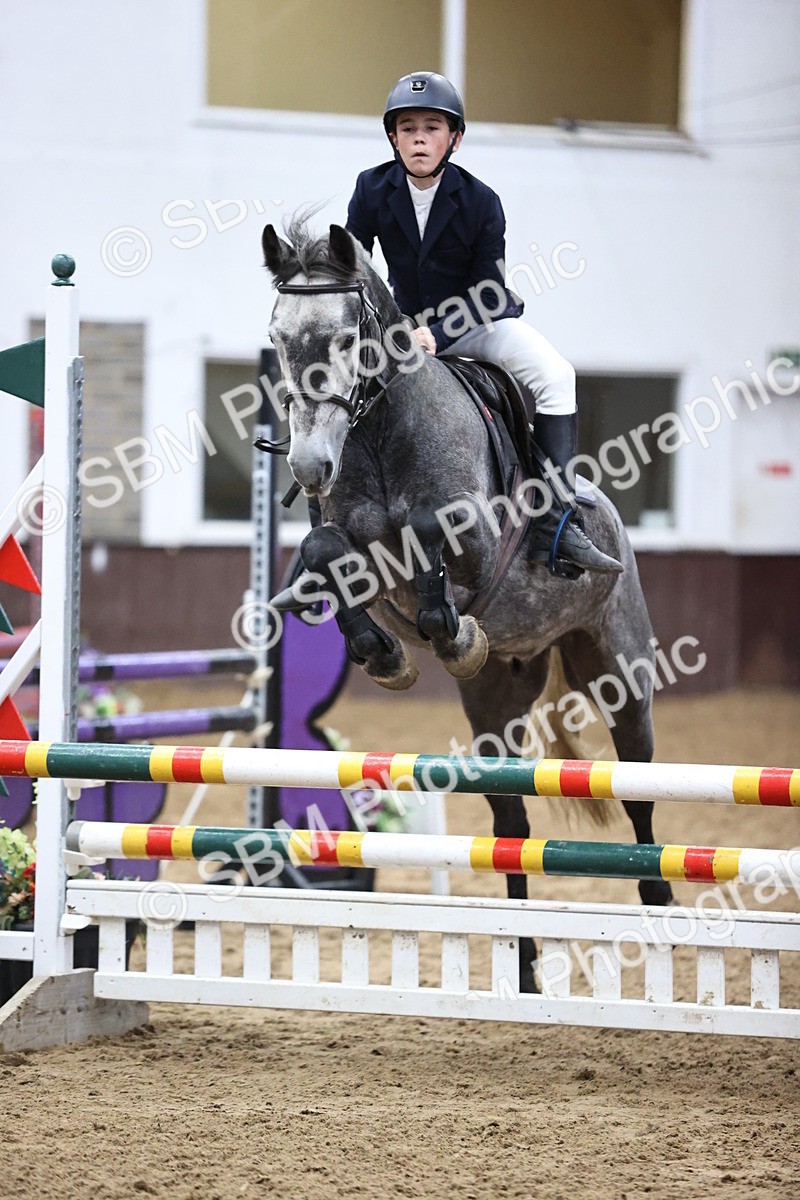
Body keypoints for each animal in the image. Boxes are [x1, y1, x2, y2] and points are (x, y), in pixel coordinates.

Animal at [261, 216, 673, 991]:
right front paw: (384, 654)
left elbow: (429, 529)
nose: (308, 466)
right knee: (512, 829)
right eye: (276, 335)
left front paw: (449, 633)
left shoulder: (477, 540)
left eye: (345, 336)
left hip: (621, 670)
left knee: (637, 788)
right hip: (492, 709)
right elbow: (325, 552)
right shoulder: (351, 544)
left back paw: (659, 901)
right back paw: (525, 964)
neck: (378, 432)